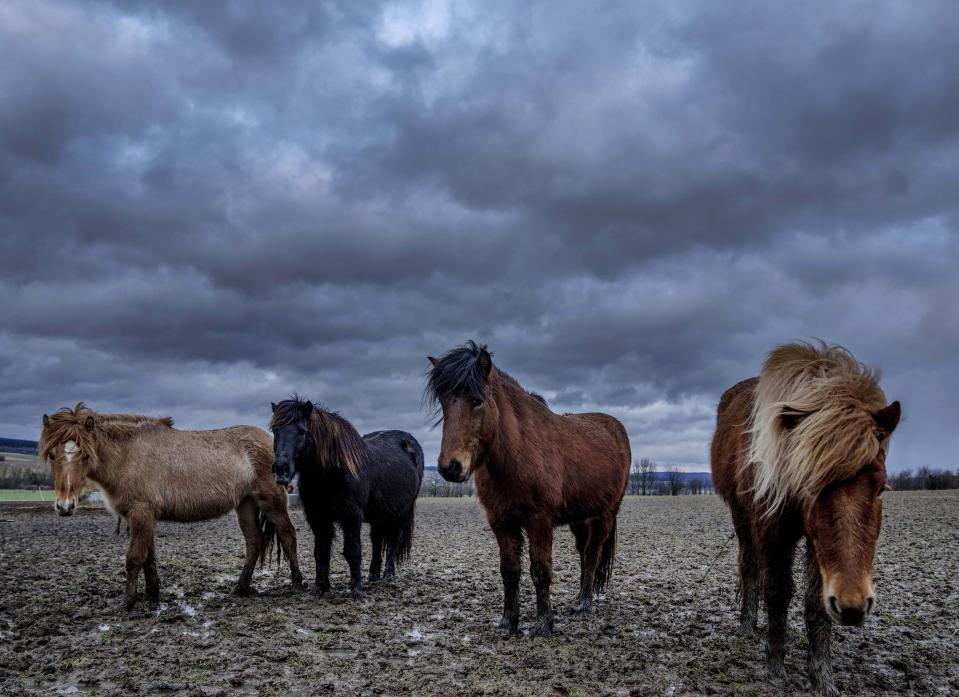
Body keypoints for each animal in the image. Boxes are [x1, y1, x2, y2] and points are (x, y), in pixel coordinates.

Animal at [39, 406, 302, 608]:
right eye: (52, 455)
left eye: (85, 455)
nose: (65, 506)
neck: (128, 455)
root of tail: (271, 442)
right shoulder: (144, 517)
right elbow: (149, 558)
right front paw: (152, 595)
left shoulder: (141, 512)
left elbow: (134, 558)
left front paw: (127, 602)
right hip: (245, 504)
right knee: (254, 542)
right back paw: (241, 587)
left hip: (271, 501)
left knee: (288, 535)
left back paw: (298, 583)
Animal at [268, 396, 422, 600]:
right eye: (275, 430)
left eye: (302, 431)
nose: (280, 469)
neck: (330, 473)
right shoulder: (318, 517)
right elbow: (321, 552)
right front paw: (321, 588)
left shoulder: (351, 517)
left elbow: (353, 551)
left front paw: (357, 591)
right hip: (379, 515)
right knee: (376, 541)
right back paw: (373, 575)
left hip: (400, 514)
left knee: (393, 541)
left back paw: (388, 575)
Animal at [428, 340, 632, 632]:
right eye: (444, 403)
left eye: (477, 401)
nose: (450, 468)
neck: (517, 455)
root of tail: (614, 427)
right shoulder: (501, 521)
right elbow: (509, 571)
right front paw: (508, 621)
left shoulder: (539, 520)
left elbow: (540, 571)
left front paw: (543, 625)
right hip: (580, 518)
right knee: (584, 552)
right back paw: (581, 596)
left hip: (605, 514)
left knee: (592, 553)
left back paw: (584, 604)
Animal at [712, 344, 900, 696]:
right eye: (810, 484)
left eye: (882, 487)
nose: (853, 606)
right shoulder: (772, 532)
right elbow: (777, 591)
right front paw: (774, 668)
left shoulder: (819, 548)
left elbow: (816, 605)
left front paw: (822, 677)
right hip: (742, 520)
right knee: (750, 567)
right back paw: (748, 624)